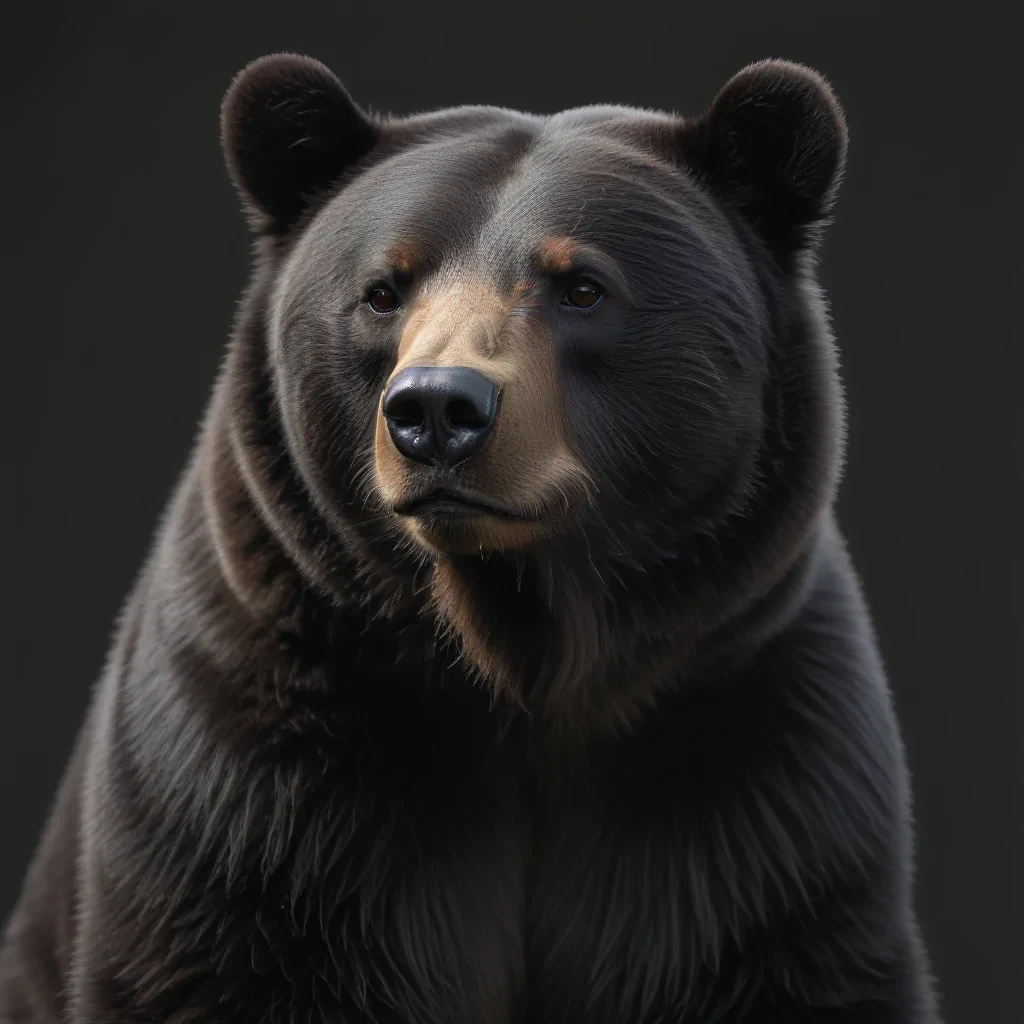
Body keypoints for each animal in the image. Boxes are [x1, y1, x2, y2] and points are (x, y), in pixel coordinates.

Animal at [0, 52, 942, 1023]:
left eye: (581, 286)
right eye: (383, 290)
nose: (436, 410)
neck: (518, 654)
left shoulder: (762, 778)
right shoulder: (255, 790)